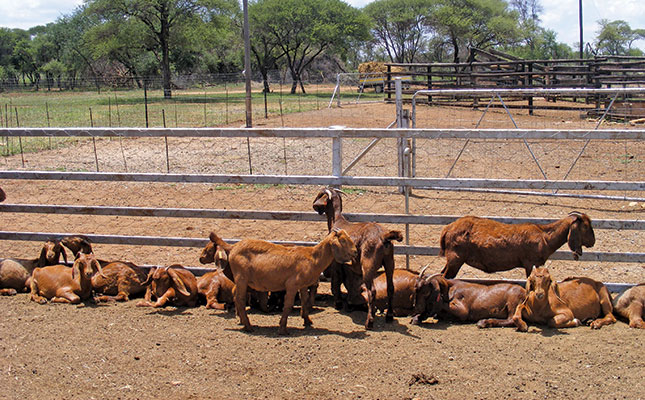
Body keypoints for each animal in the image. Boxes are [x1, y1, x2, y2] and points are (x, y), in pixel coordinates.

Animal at [226, 228, 358, 334]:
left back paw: (242, 322)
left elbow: (304, 301)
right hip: (241, 279)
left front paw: (307, 321)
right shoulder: (292, 285)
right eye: (343, 240)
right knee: (240, 299)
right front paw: (282, 329)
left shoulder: (303, 285)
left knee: (237, 298)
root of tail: (233, 247)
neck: (313, 258)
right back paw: (248, 326)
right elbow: (288, 305)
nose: (356, 251)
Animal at [314, 188, 402, 328]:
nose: (315, 206)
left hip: (368, 265)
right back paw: (389, 316)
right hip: (390, 263)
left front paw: (338, 303)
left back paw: (369, 322)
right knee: (391, 288)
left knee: (372, 291)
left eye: (319, 194)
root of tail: (383, 236)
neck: (337, 220)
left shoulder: (336, 262)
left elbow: (336, 280)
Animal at [438, 211, 592, 280]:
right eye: (586, 226)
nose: (592, 242)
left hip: (452, 260)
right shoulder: (529, 262)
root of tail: (448, 229)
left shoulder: (536, 264)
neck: (545, 236)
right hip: (455, 258)